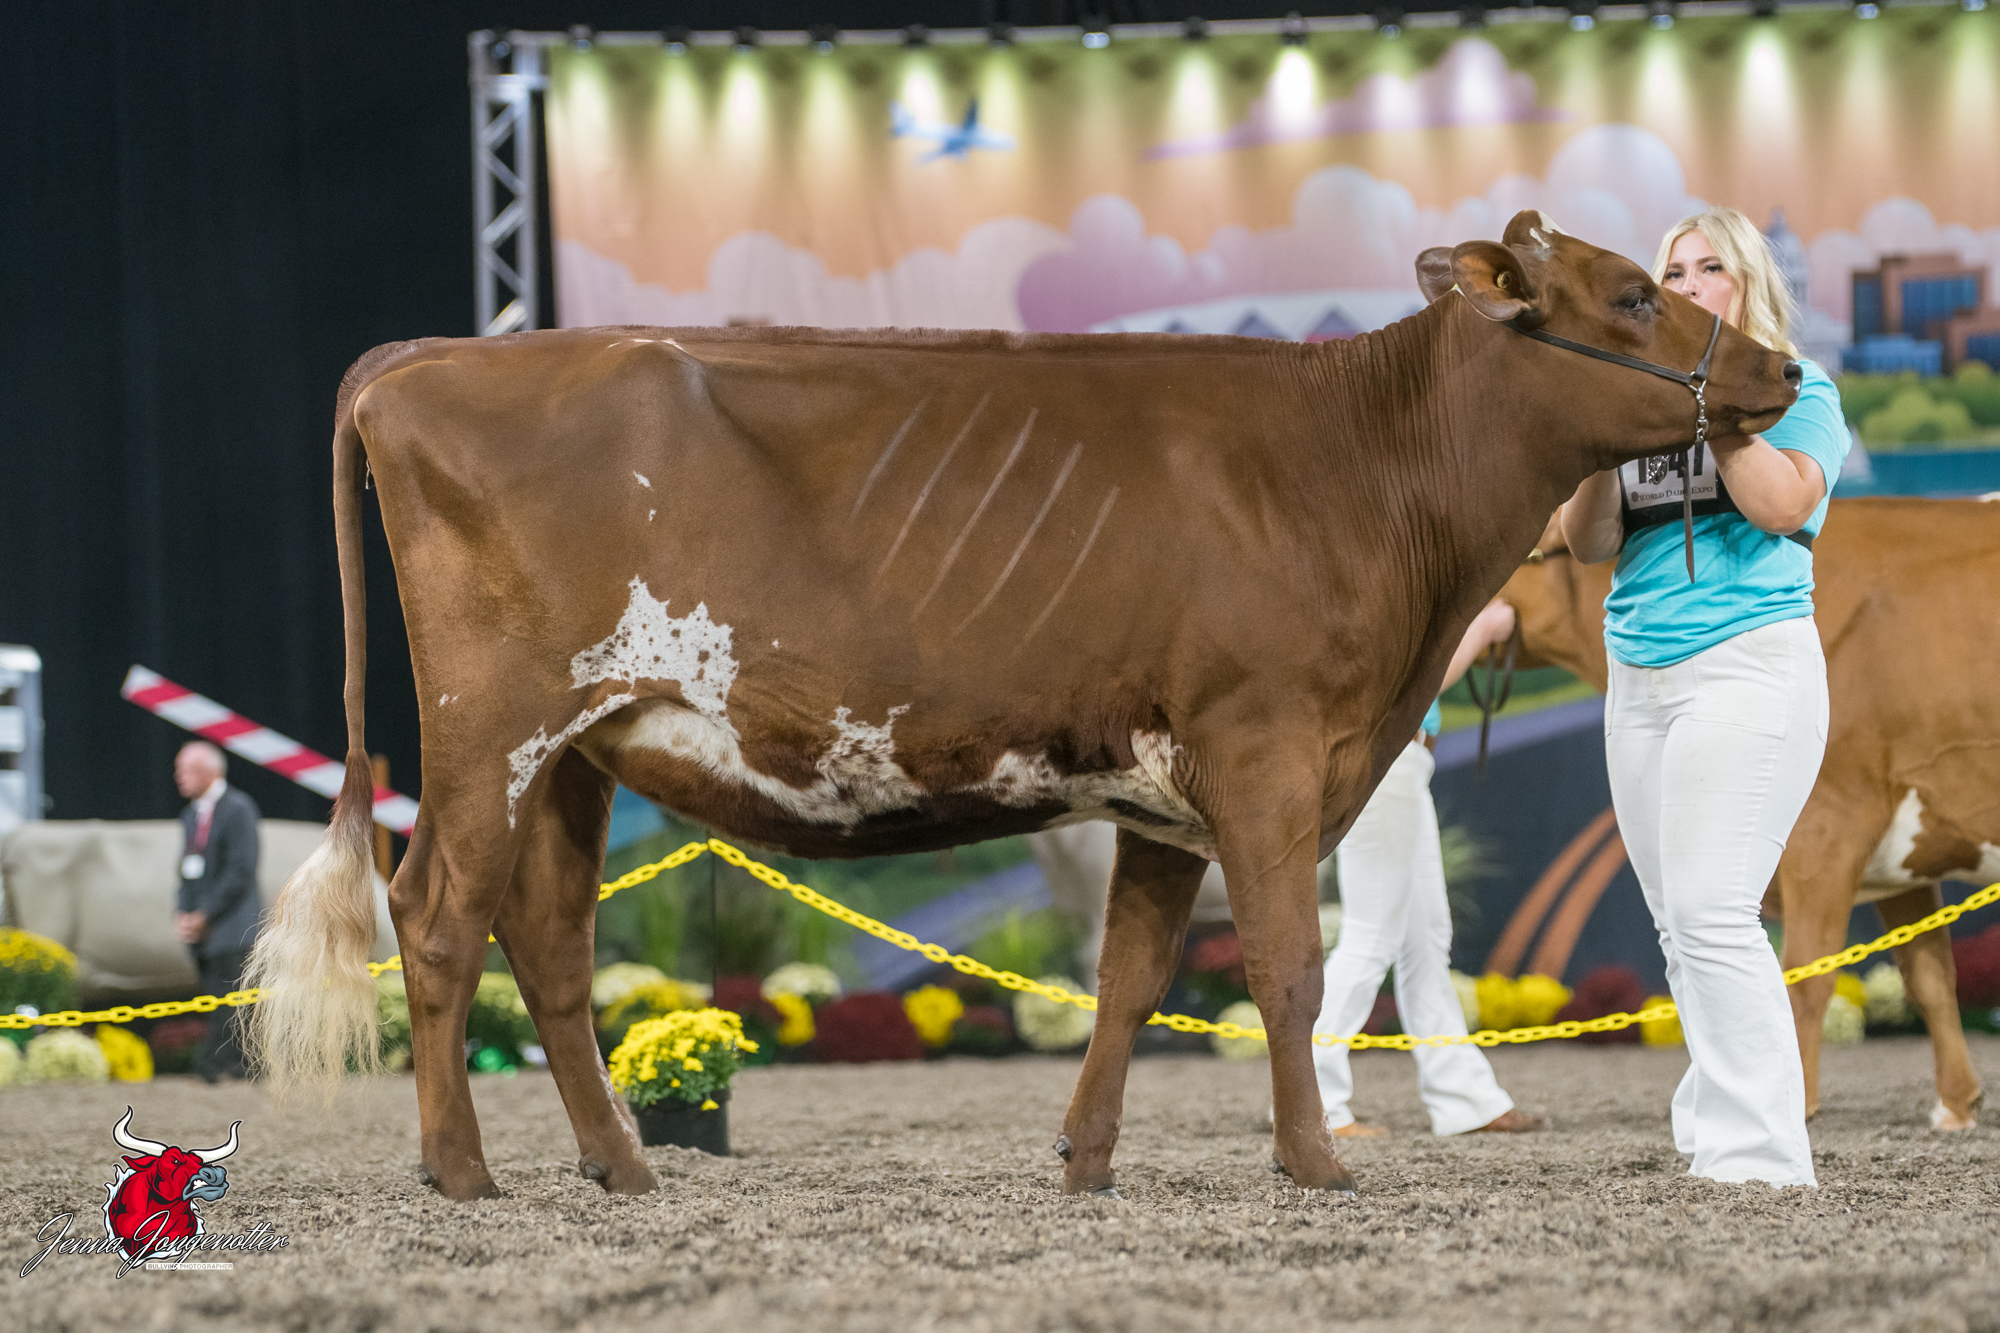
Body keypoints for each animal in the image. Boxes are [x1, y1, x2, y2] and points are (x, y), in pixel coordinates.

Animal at [245, 212, 1799, 1202]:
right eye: (1635, 293)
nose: (1781, 368)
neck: (1363, 469)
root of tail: (436, 355)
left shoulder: (1170, 793)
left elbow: (1130, 978)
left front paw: (1088, 1160)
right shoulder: (1266, 746)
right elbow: (1287, 966)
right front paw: (1314, 1162)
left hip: (580, 750)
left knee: (550, 948)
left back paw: (622, 1165)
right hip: (489, 729)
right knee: (437, 918)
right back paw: (460, 1171)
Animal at [1499, 496, 2000, 1131]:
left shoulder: (1828, 823)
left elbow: (1806, 973)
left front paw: (1796, 1104)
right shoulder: (1901, 844)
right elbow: (1929, 971)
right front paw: (1956, 1106)